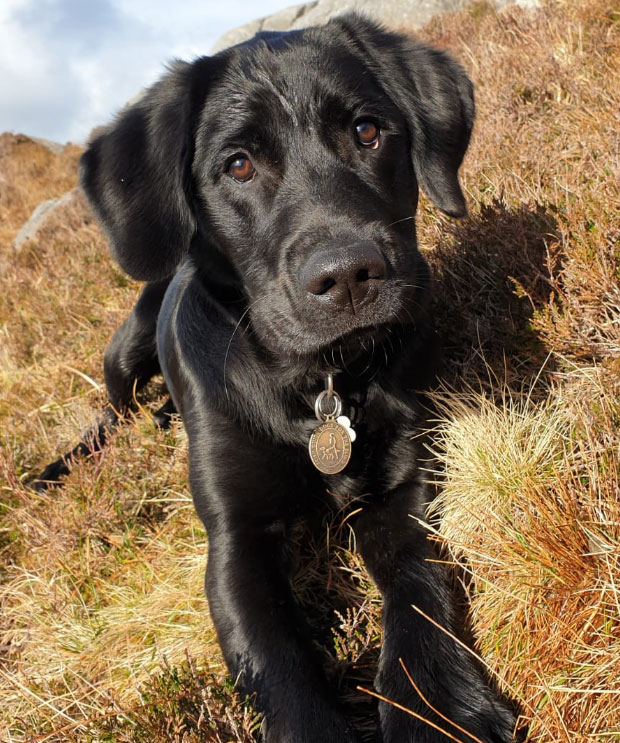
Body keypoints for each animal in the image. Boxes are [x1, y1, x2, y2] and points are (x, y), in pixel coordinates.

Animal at [64, 14, 512, 743]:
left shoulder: (401, 485)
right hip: (126, 345)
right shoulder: (235, 537)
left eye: (367, 130)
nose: (348, 275)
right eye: (238, 165)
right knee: (111, 411)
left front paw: (439, 707)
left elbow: (419, 585)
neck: (318, 389)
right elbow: (276, 657)